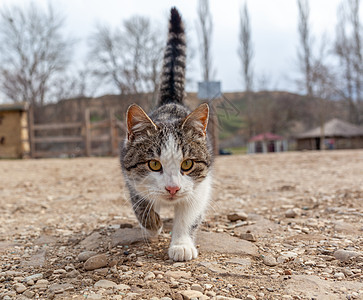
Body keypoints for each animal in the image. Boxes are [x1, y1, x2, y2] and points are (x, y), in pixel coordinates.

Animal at [121, 6, 215, 260]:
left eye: (187, 164)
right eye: (154, 164)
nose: (172, 188)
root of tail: (171, 100)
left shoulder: (200, 186)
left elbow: (189, 215)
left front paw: (181, 244)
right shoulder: (129, 176)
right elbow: (140, 203)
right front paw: (153, 223)